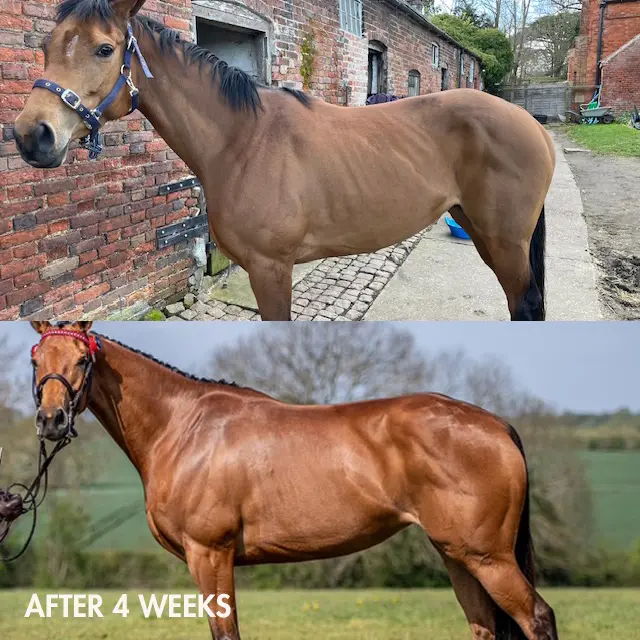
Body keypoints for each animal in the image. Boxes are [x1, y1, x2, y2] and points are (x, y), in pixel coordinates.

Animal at [14, 0, 556, 321]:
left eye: (105, 49)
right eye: (45, 45)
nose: (31, 136)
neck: (243, 141)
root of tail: (531, 124)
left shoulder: (270, 269)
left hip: (506, 241)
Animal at [29, 320, 558, 640]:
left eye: (82, 360)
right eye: (36, 359)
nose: (51, 421)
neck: (183, 426)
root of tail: (495, 424)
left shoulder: (210, 554)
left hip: (487, 556)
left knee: (537, 618)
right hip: (456, 554)